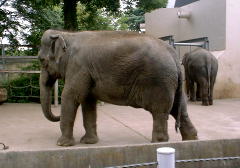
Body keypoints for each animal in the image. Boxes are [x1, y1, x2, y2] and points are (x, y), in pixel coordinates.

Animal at [39, 29, 197, 146]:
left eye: (42, 60)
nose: (57, 115)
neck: (67, 34)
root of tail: (173, 54)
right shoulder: (85, 71)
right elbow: (88, 102)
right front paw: (89, 142)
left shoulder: (78, 66)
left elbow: (71, 96)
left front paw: (62, 144)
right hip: (172, 83)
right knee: (180, 110)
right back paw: (190, 141)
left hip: (160, 81)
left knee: (160, 112)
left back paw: (158, 143)